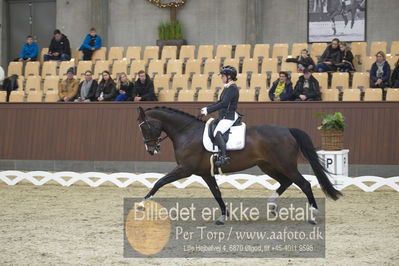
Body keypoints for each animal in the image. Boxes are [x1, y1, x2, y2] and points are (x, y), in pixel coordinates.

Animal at [136, 106, 342, 224]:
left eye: (144, 126)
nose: (151, 150)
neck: (187, 131)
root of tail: (287, 130)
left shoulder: (184, 170)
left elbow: (159, 182)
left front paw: (141, 204)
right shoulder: (205, 173)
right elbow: (217, 193)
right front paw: (223, 215)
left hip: (285, 165)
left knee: (304, 184)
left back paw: (313, 214)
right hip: (268, 166)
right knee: (286, 182)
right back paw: (271, 206)